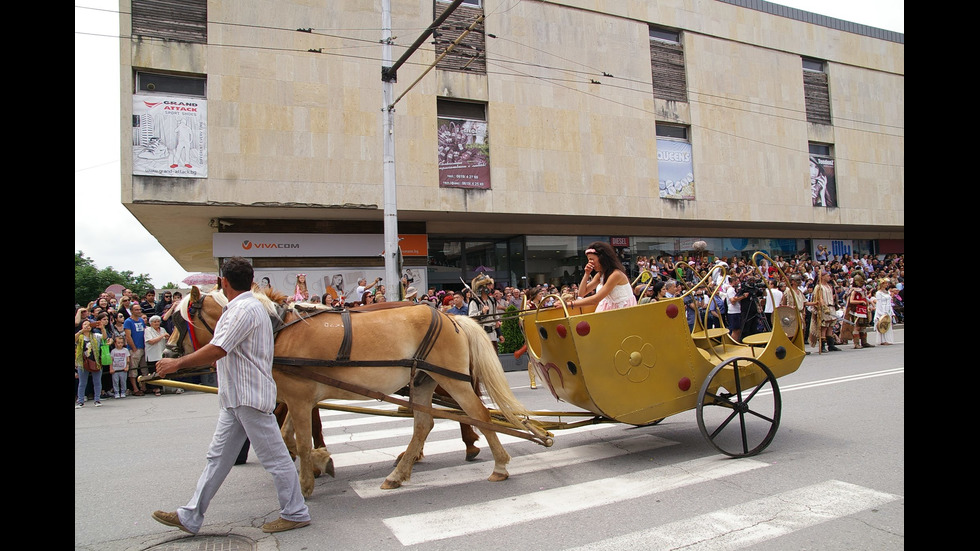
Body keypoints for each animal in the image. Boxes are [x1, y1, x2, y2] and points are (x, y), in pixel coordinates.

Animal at [170, 286, 536, 498]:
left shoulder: (299, 398)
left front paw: (306, 482)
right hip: (423, 381)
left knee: (477, 413)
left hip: (452, 379)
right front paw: (320, 462)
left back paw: (499, 465)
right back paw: (399, 473)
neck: (276, 329)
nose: (171, 353)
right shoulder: (296, 397)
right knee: (424, 424)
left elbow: (301, 441)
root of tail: (451, 318)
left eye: (180, 318)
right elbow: (289, 436)